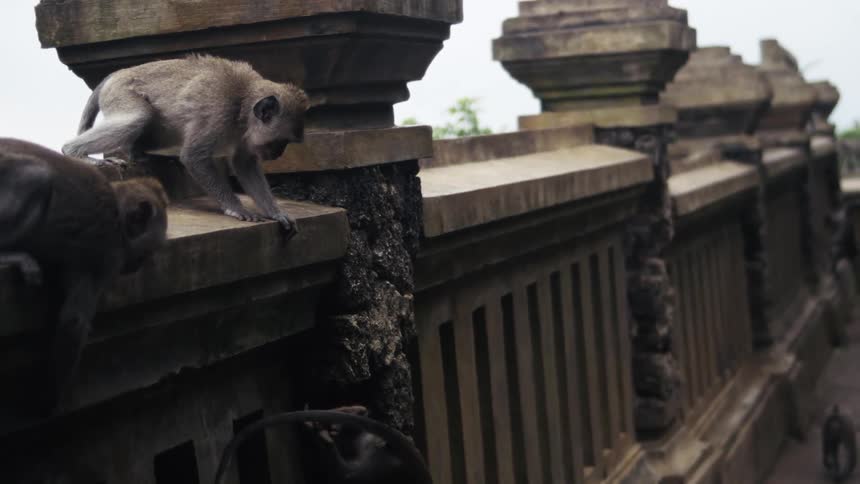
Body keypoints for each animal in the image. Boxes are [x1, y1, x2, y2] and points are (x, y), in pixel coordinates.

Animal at [0, 138, 169, 413]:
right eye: (147, 252)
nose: (138, 265)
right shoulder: (107, 256)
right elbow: (73, 322)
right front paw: (48, 402)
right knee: (38, 175)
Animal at [62, 54, 309, 239]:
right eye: (281, 141)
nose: (278, 153)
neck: (241, 105)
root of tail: (117, 73)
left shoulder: (244, 134)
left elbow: (244, 164)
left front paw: (275, 212)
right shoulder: (217, 113)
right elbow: (193, 157)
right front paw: (236, 207)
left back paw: (139, 153)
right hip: (120, 92)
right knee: (138, 118)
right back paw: (73, 152)